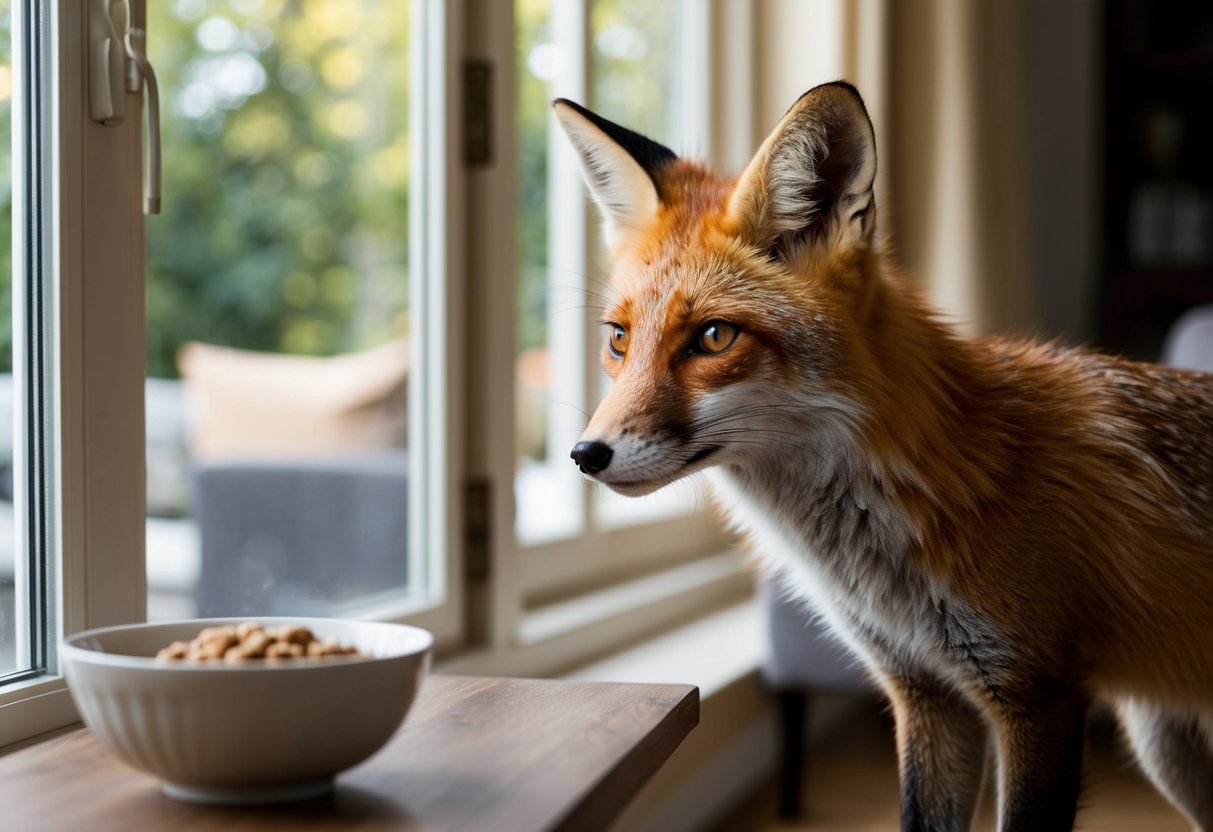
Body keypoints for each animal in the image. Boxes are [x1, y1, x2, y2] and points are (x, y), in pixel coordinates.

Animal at [554, 82, 1213, 832]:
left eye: (715, 337)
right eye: (618, 339)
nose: (584, 455)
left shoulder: (1035, 696)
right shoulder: (925, 692)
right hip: (1167, 744)